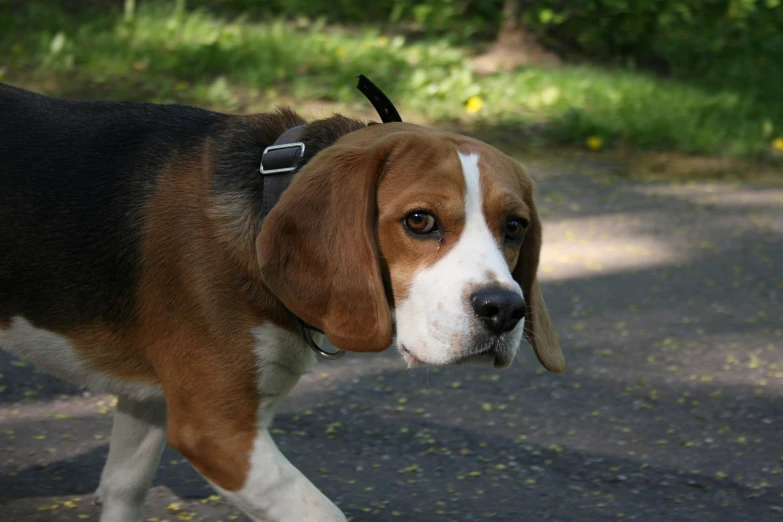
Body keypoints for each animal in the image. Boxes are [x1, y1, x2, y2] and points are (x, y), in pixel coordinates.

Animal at [0, 83, 564, 516]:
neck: (267, 194)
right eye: (420, 221)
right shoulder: (217, 431)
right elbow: (322, 512)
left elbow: (123, 487)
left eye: (515, 227)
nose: (503, 310)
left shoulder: (151, 400)